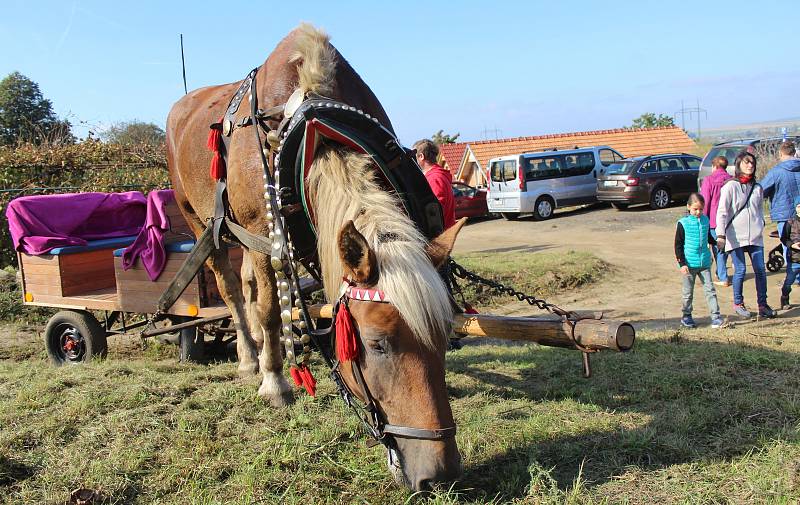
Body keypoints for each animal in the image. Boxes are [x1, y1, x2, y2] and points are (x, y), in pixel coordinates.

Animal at [166, 24, 462, 488]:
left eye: (446, 337)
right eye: (377, 345)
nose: (440, 476)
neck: (310, 130)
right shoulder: (259, 232)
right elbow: (270, 310)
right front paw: (275, 381)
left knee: (247, 284)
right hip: (200, 221)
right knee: (232, 289)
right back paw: (249, 357)